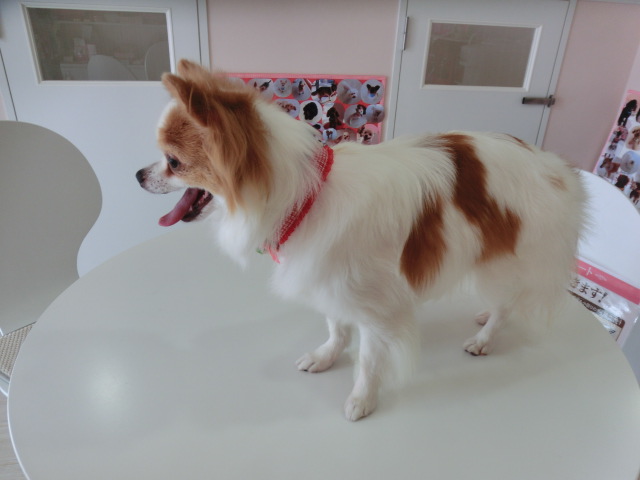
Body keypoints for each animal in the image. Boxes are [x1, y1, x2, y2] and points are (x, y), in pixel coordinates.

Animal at [136, 60, 587, 421]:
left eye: (173, 162)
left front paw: (362, 399)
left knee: (507, 302)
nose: (138, 174)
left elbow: (369, 360)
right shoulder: (331, 279)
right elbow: (336, 327)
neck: (307, 196)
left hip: (501, 259)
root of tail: (551, 164)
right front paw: (326, 356)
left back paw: (484, 337)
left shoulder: (378, 305)